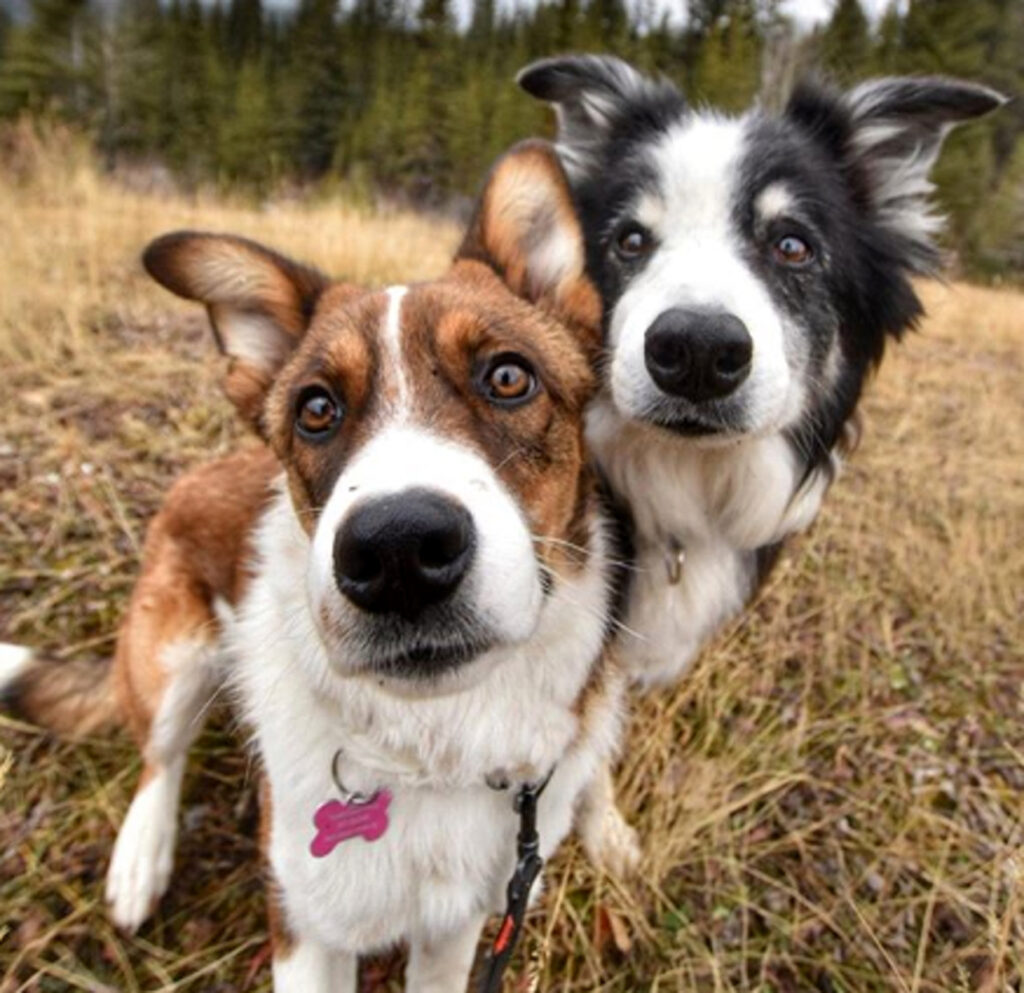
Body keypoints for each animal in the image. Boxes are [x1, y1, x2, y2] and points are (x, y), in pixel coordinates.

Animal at [0, 143, 626, 986]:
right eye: (316, 409)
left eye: (508, 376)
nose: (397, 552)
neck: (430, 745)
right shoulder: (305, 927)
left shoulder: (460, 924)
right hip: (173, 651)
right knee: (159, 754)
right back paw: (140, 858)